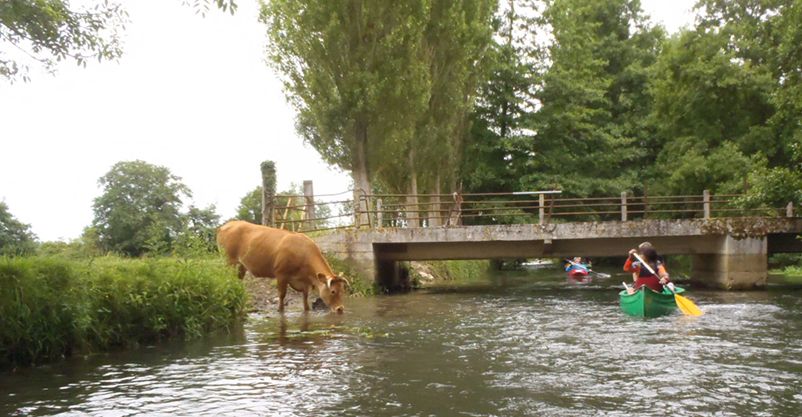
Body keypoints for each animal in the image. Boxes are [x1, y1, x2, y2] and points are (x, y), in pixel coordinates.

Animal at [216, 221, 346, 312]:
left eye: (343, 290)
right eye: (333, 291)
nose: (340, 308)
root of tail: (225, 225)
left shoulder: (303, 281)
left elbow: (305, 298)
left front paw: (307, 309)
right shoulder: (281, 274)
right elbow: (282, 295)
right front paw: (280, 309)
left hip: (241, 267)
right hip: (229, 261)